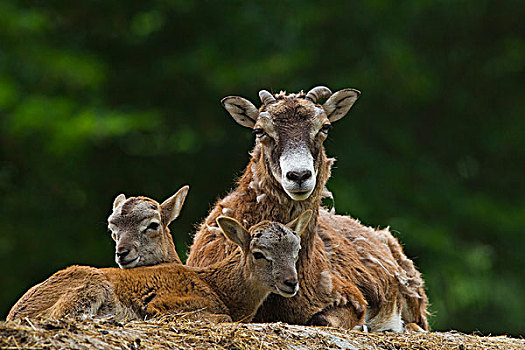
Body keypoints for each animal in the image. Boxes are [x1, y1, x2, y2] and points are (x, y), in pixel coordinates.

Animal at [6, 209, 310, 324]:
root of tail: (15, 311)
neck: (220, 289)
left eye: (296, 250)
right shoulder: (168, 304)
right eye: (258, 254)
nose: (290, 282)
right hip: (90, 284)